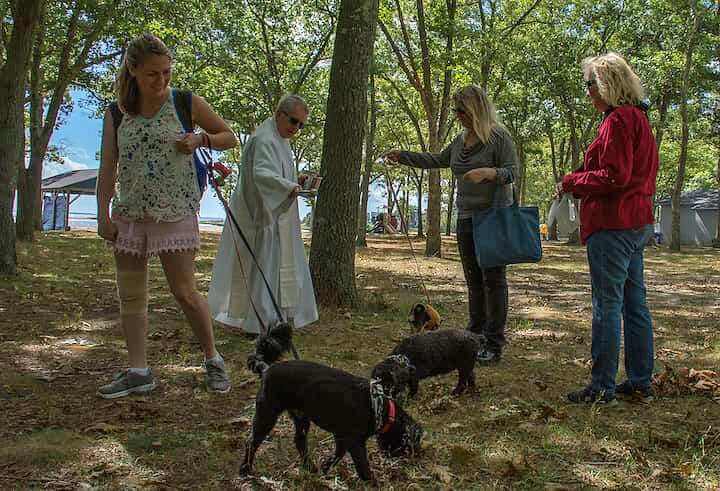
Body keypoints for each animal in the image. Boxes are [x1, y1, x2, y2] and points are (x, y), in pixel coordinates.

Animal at [242, 322, 422, 484]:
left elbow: (337, 456)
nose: (417, 457)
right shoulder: (354, 442)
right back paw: (245, 470)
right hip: (267, 415)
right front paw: (373, 483)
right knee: (251, 442)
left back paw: (310, 467)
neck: (379, 407)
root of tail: (266, 369)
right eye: (412, 444)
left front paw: (325, 468)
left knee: (299, 442)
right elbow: (363, 467)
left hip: (301, 417)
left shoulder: (342, 438)